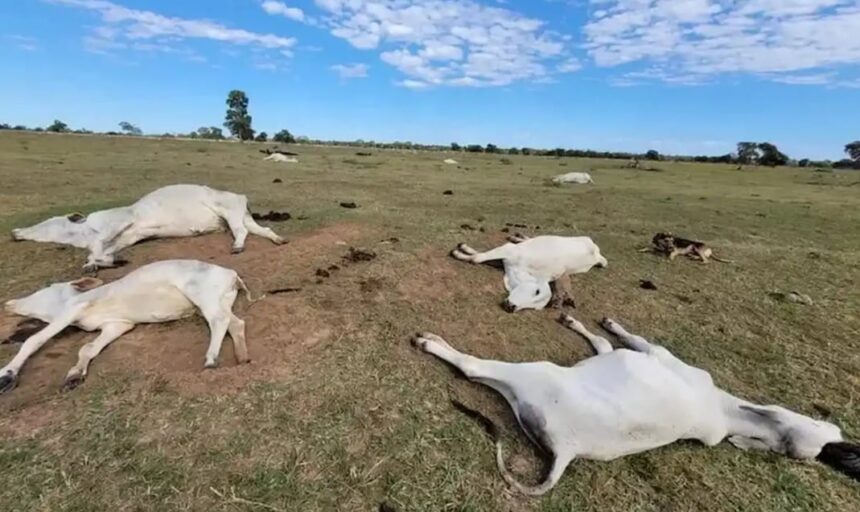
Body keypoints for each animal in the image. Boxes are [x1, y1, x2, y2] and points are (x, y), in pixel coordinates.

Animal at [0, 260, 254, 392]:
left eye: (47, 288)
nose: (9, 303)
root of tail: (231, 273)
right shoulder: (118, 325)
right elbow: (88, 348)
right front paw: (74, 375)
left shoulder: (74, 309)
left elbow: (34, 340)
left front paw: (6, 375)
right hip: (220, 301)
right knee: (236, 322)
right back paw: (242, 356)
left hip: (202, 295)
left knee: (219, 321)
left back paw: (211, 358)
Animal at [10, 185, 286, 272]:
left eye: (48, 223)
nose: (15, 232)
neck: (87, 231)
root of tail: (241, 196)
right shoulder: (128, 236)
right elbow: (104, 252)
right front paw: (102, 263)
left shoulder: (122, 220)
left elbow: (99, 247)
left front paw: (94, 263)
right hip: (242, 216)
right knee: (262, 230)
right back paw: (278, 240)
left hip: (230, 213)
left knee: (242, 232)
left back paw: (237, 246)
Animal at [414, 316, 856, 496]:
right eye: (827, 431)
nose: (845, 447)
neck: (726, 411)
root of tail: (568, 451)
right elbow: (602, 343)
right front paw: (577, 322)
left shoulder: (655, 352)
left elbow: (626, 338)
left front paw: (608, 324)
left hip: (532, 374)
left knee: (473, 368)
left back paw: (431, 341)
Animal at [454, 235, 608, 312]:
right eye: (537, 291)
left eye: (535, 307)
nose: (511, 307)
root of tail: (597, 254)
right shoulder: (509, 250)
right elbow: (478, 257)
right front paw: (459, 250)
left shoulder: (504, 259)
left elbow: (479, 257)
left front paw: (463, 250)